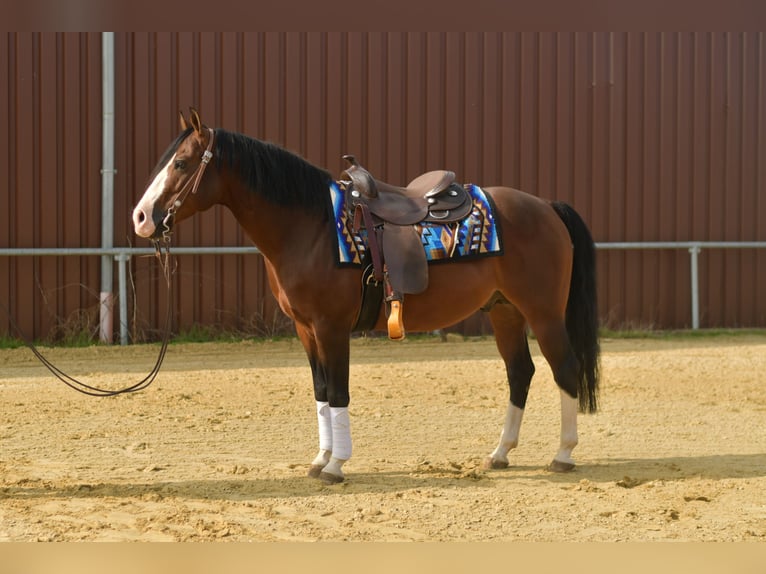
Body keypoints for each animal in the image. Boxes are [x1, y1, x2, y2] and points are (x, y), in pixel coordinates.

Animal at [132, 108, 600, 484]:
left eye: (181, 162)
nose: (140, 217)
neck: (311, 227)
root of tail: (546, 206)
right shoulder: (305, 330)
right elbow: (321, 393)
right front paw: (319, 459)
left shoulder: (331, 328)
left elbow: (338, 393)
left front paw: (336, 466)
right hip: (504, 311)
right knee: (520, 372)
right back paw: (500, 453)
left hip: (543, 312)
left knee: (565, 368)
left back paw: (563, 454)